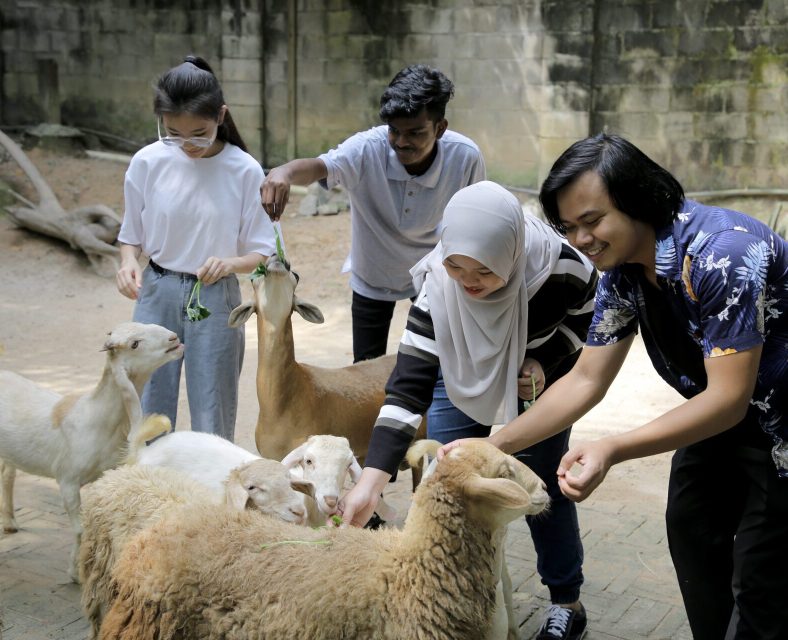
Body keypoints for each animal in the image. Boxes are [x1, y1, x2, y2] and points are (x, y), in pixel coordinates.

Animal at [0, 322, 182, 584]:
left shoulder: (105, 474)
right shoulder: (67, 479)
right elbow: (79, 530)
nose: (174, 338)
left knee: (7, 473)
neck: (96, 419)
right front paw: (76, 574)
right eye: (134, 344)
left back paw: (10, 523)